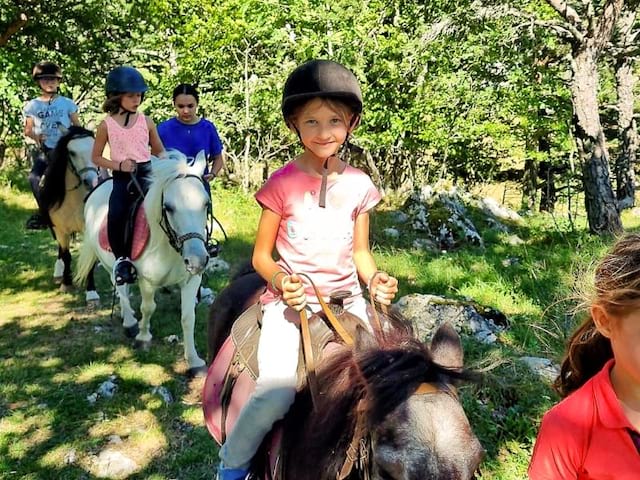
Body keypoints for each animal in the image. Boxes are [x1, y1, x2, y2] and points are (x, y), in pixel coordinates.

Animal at [38, 127, 99, 300]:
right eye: (72, 152)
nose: (91, 181)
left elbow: (89, 259)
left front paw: (91, 292)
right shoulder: (60, 229)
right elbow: (66, 255)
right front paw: (66, 282)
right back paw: (59, 273)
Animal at [75, 152, 210, 376]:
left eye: (206, 204)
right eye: (168, 208)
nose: (197, 259)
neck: (169, 246)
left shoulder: (191, 280)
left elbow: (188, 317)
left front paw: (194, 361)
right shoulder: (147, 281)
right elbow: (148, 308)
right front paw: (143, 338)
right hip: (109, 261)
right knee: (119, 284)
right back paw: (130, 322)